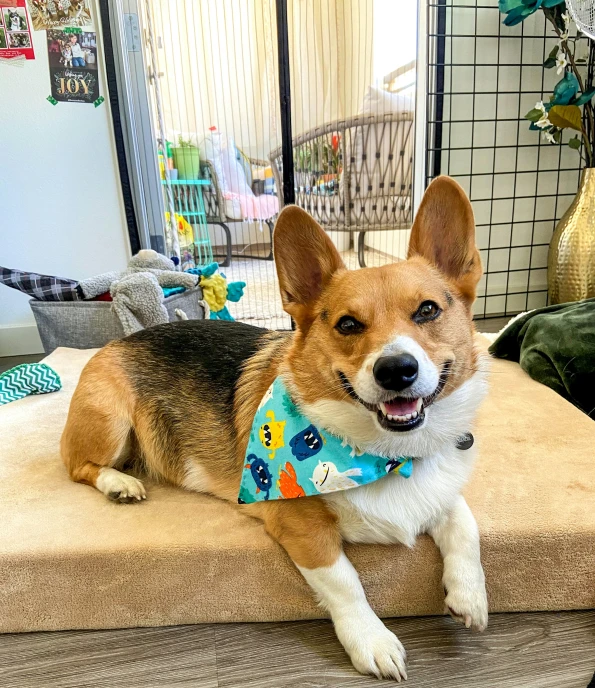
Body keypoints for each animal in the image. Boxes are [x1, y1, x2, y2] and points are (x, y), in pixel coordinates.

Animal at [61, 175, 488, 680]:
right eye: (348, 324)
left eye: (427, 311)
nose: (396, 370)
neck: (385, 455)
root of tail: (115, 341)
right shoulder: (301, 527)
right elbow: (345, 582)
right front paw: (372, 641)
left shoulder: (442, 491)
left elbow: (465, 524)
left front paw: (470, 596)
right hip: (110, 421)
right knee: (79, 467)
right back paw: (119, 483)